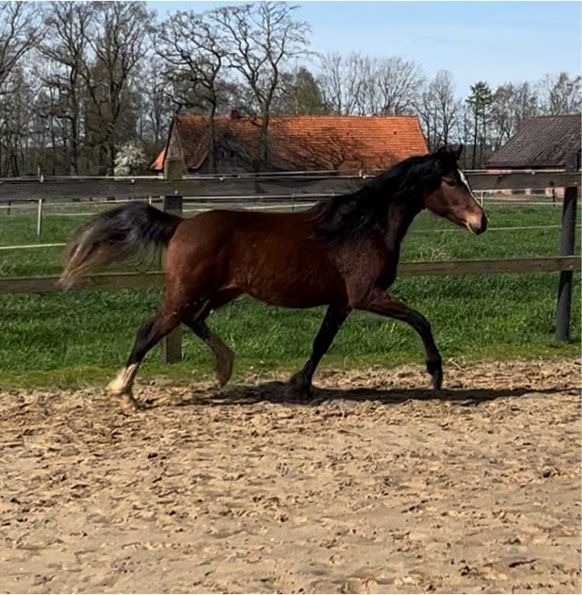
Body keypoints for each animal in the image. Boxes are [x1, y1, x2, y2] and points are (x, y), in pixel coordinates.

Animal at [60, 148, 488, 410]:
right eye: (452, 181)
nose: (480, 222)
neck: (362, 226)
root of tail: (180, 224)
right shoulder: (366, 294)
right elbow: (420, 320)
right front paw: (436, 374)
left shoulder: (341, 302)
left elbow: (321, 343)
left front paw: (299, 383)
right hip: (187, 291)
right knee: (151, 328)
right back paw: (125, 391)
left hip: (219, 292)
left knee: (191, 320)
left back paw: (224, 367)